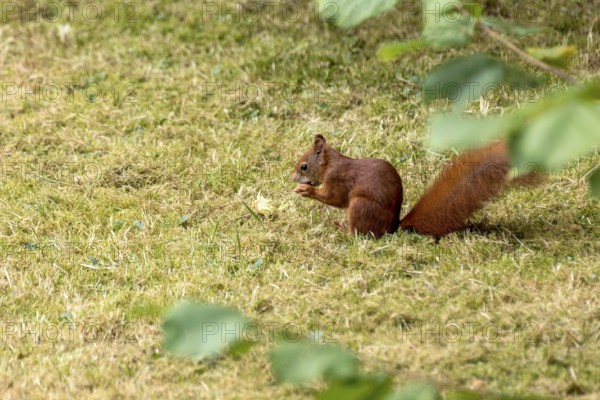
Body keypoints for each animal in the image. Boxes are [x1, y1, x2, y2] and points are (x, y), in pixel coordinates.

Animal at [292, 136, 524, 238]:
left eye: (304, 166)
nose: (294, 178)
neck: (331, 163)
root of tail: (393, 227)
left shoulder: (338, 179)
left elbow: (335, 198)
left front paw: (306, 191)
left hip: (360, 206)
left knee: (361, 234)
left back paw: (342, 230)